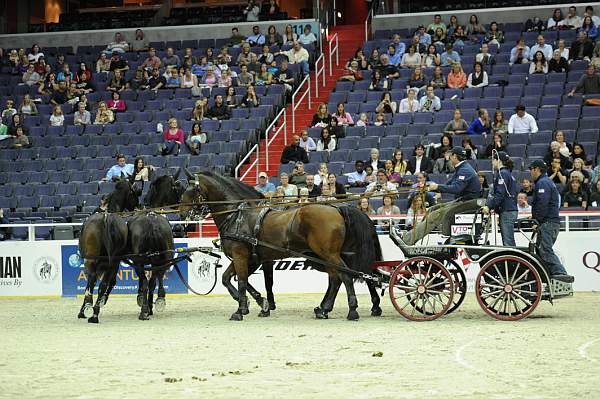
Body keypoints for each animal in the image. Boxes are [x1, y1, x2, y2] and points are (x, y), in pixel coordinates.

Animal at [77, 178, 138, 324]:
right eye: (133, 193)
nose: (138, 206)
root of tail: (105, 218)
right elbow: (110, 282)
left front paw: (84, 309)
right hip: (111, 262)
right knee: (102, 284)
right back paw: (94, 310)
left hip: (97, 261)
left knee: (94, 280)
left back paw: (92, 310)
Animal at [180, 170, 382, 320]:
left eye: (189, 190)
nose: (181, 215)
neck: (237, 214)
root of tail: (338, 208)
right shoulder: (253, 258)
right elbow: (228, 279)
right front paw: (259, 303)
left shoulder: (241, 255)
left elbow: (242, 281)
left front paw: (241, 310)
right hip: (331, 254)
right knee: (340, 277)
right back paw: (325, 309)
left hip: (329, 254)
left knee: (345, 276)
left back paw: (352, 310)